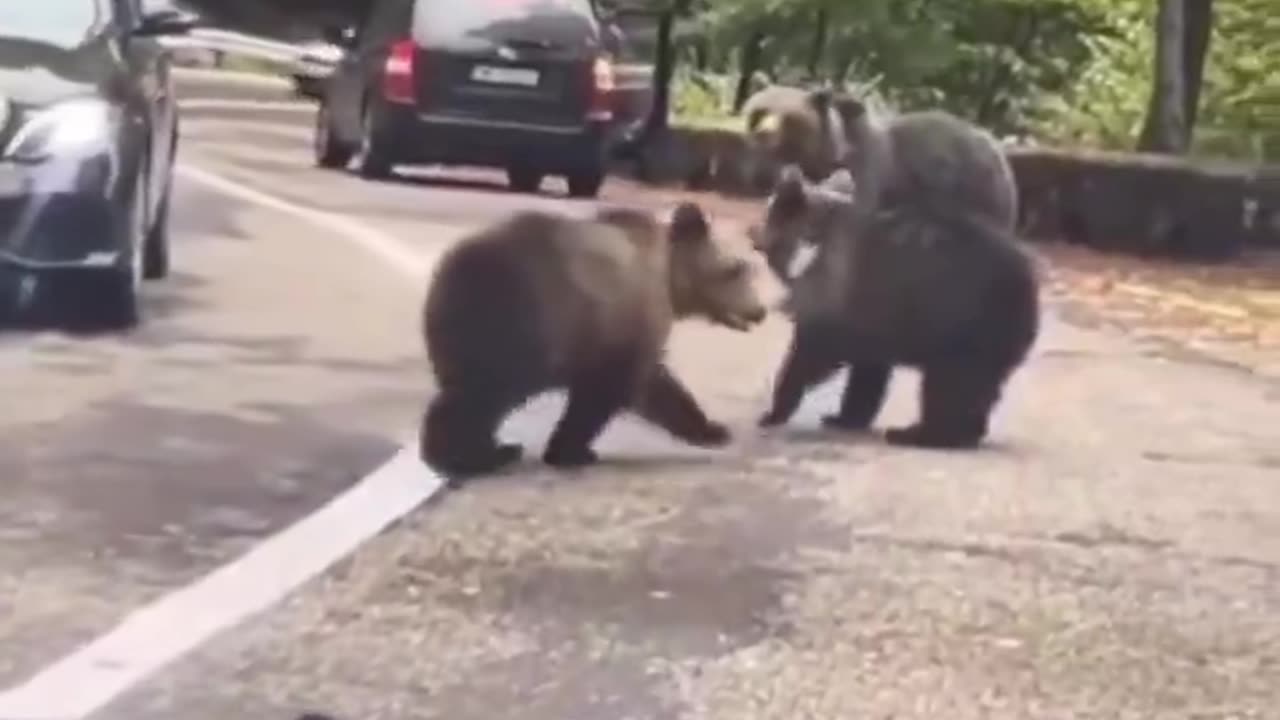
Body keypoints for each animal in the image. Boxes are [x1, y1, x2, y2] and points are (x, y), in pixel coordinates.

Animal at [419, 202, 768, 481]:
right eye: (735, 269)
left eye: (747, 267)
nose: (759, 311)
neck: (669, 281)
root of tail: (451, 267)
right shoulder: (614, 323)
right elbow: (609, 391)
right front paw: (572, 451)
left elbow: (656, 384)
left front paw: (713, 429)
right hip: (517, 319)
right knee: (482, 394)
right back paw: (478, 457)